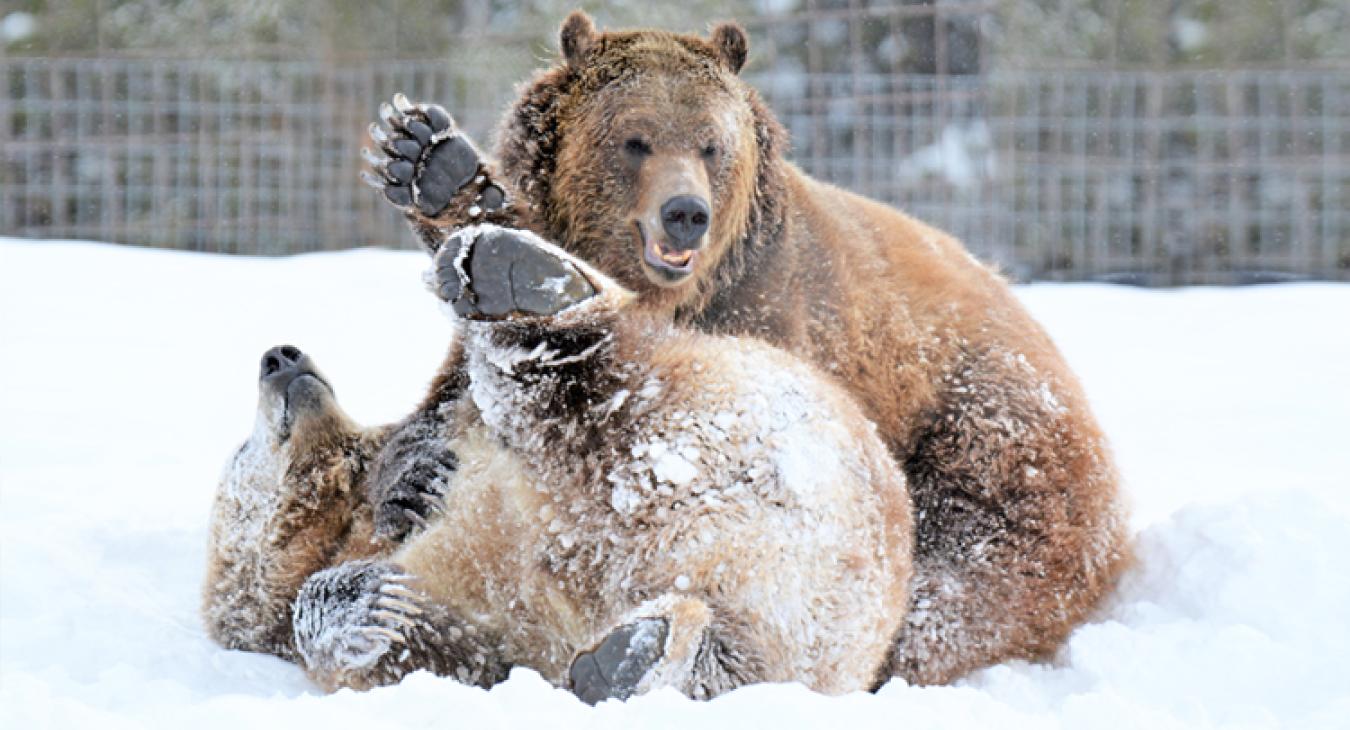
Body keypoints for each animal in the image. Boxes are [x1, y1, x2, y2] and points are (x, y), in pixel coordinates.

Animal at [202, 224, 913, 700]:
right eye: (240, 450)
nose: (281, 355)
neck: (341, 528)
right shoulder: (468, 634)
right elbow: (432, 647)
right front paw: (370, 596)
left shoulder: (456, 436)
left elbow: (443, 419)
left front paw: (411, 481)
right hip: (784, 627)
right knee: (734, 662)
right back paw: (635, 658)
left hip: (699, 396)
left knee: (575, 383)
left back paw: (510, 274)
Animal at [357, 11, 1131, 687]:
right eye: (634, 139)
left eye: (710, 144)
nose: (685, 213)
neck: (680, 292)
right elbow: (440, 414)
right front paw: (427, 159)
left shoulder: (776, 325)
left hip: (991, 451)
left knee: (950, 593)